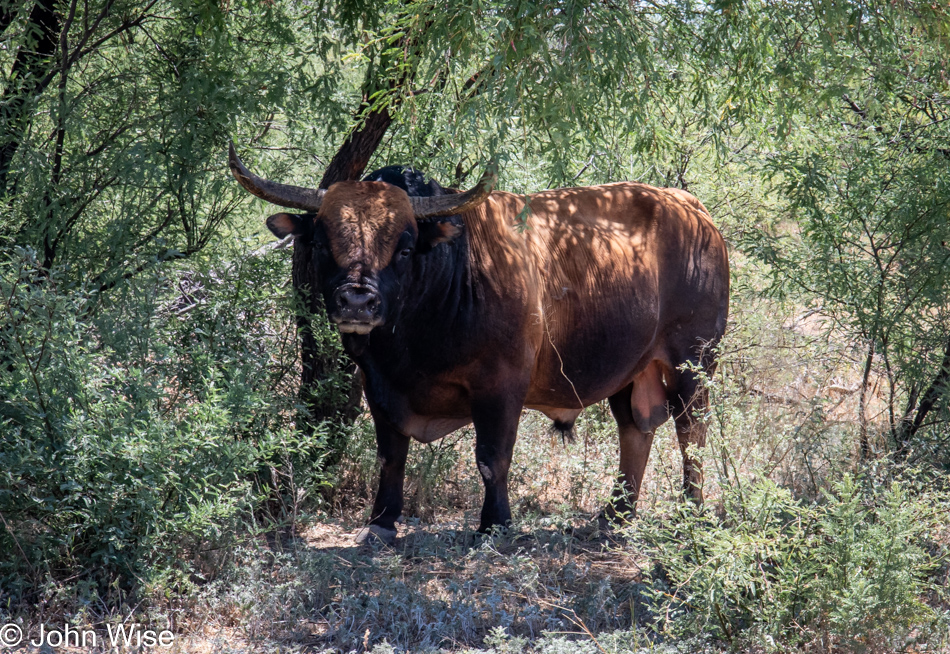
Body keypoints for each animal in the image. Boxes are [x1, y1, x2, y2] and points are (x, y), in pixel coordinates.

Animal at [229, 146, 728, 544]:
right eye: (322, 242)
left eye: (404, 247)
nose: (357, 300)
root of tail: (692, 209)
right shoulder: (378, 384)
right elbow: (390, 455)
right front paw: (382, 522)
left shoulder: (501, 386)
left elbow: (492, 458)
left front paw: (495, 525)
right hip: (631, 370)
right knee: (635, 432)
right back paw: (615, 516)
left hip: (694, 363)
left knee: (691, 433)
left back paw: (690, 512)